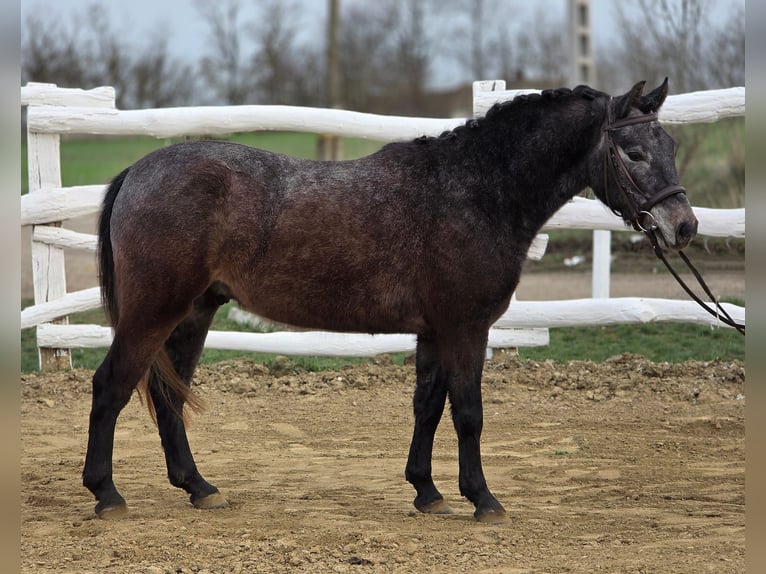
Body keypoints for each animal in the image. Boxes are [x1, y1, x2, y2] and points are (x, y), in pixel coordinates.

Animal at [83, 79, 697, 523]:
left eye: (670, 145)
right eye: (634, 152)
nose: (684, 226)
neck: (475, 190)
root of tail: (138, 171)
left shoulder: (434, 332)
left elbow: (428, 407)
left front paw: (428, 492)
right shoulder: (465, 329)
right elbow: (468, 413)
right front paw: (483, 500)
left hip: (193, 313)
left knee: (168, 395)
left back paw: (199, 487)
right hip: (154, 313)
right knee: (112, 386)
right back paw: (106, 494)